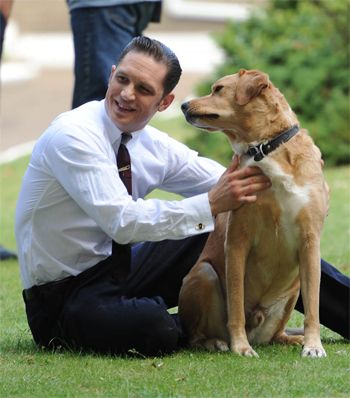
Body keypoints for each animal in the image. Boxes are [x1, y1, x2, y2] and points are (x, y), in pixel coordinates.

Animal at [179, 68, 330, 358]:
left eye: (218, 89)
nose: (183, 104)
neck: (267, 148)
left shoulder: (310, 241)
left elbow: (314, 308)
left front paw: (313, 345)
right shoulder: (237, 241)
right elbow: (236, 304)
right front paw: (240, 347)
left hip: (293, 289)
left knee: (276, 334)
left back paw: (292, 339)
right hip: (203, 273)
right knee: (195, 336)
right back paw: (217, 342)